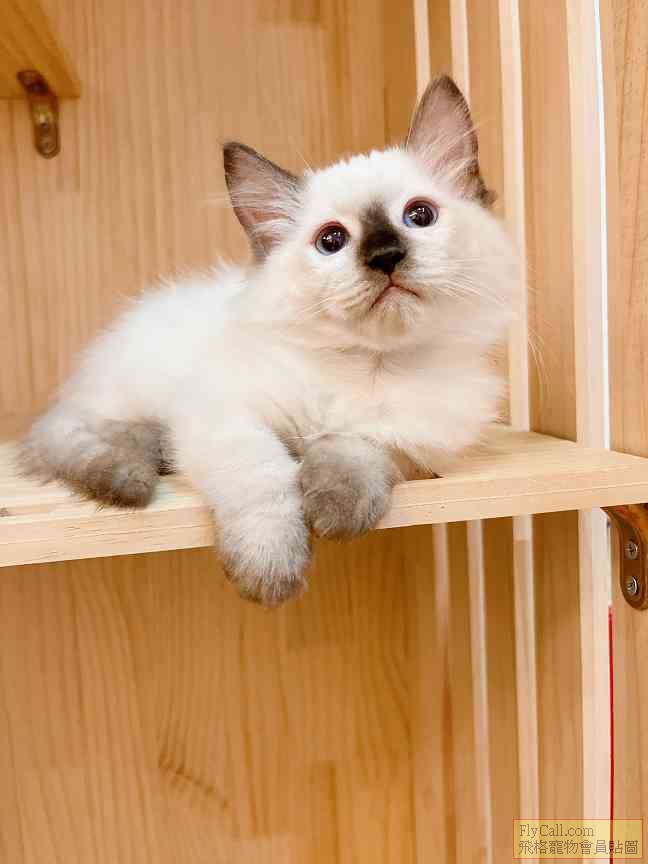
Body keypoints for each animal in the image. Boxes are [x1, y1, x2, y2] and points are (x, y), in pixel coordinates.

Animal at [21, 75, 522, 605]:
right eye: (332, 241)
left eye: (419, 215)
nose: (385, 255)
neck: (372, 364)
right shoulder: (229, 419)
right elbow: (265, 477)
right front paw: (270, 571)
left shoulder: (408, 446)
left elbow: (350, 453)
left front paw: (335, 512)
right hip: (126, 399)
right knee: (81, 435)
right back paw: (140, 469)